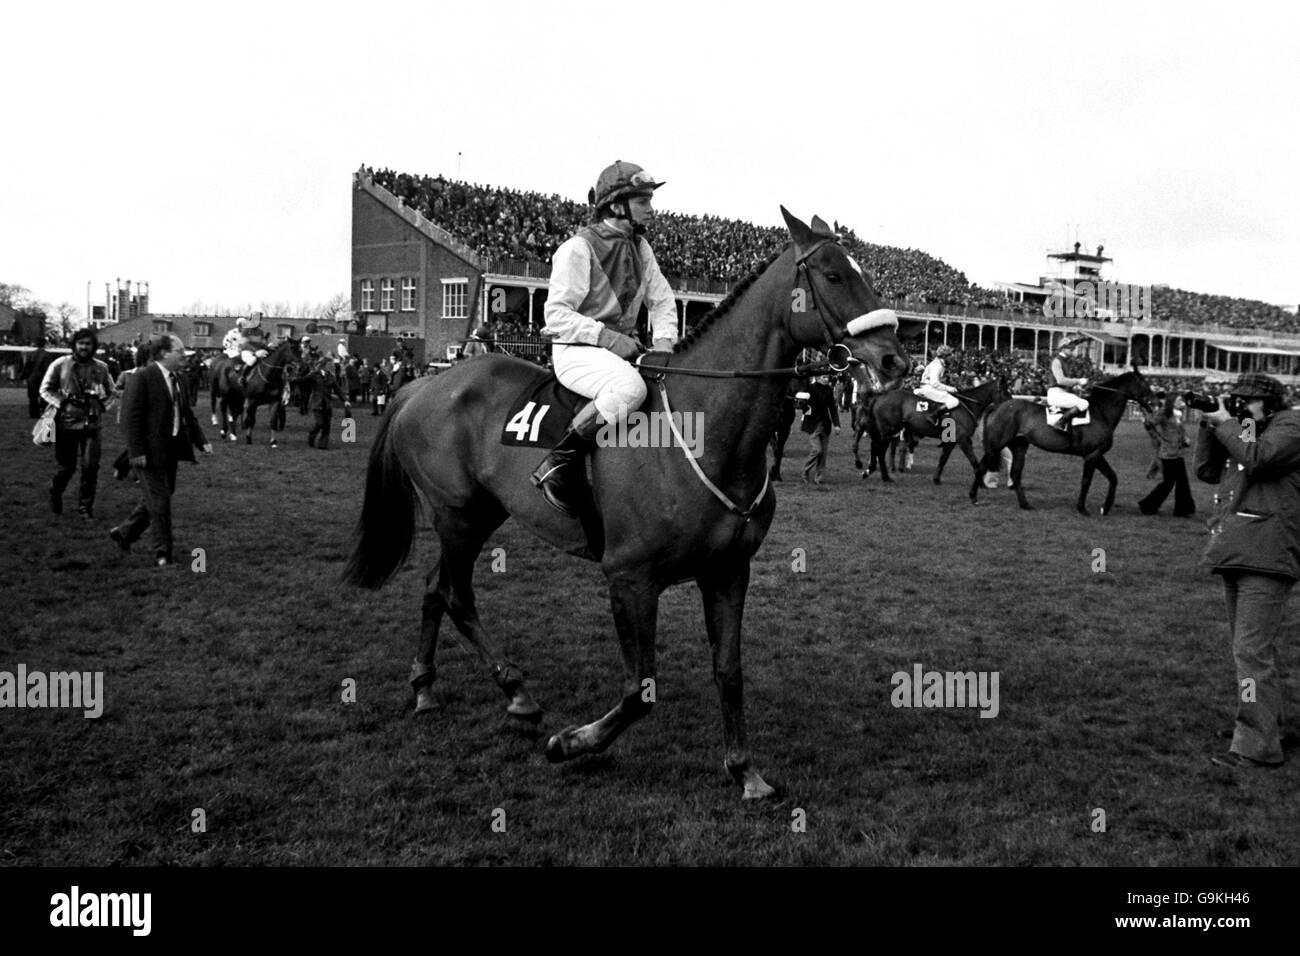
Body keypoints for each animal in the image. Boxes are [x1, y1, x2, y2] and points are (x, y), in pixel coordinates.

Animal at [345, 209, 915, 801]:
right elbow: (640, 689)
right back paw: (516, 691)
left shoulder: (729, 572)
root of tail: (423, 385)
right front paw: (571, 742)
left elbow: (729, 671)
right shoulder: (629, 577)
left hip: (479, 515)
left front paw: (745, 770)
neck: (706, 432)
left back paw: (426, 686)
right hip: (457, 516)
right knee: (456, 595)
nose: (896, 358)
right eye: (833, 275)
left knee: (436, 588)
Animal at [852, 379, 1013, 486]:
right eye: (1005, 391)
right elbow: (973, 459)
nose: (1011, 404)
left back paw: (871, 471)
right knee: (879, 450)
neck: (968, 405)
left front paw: (936, 479)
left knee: (876, 447)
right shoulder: (964, 439)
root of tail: (880, 396)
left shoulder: (952, 440)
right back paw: (884, 476)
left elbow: (943, 459)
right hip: (888, 431)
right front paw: (981, 483)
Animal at [972, 369, 1154, 515]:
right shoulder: (1092, 455)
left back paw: (1025, 504)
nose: (1156, 400)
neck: (1101, 412)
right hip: (996, 446)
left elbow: (1113, 478)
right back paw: (973, 497)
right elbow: (1086, 481)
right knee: (981, 467)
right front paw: (1082, 508)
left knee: (1015, 473)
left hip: (1019, 447)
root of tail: (998, 406)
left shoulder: (1097, 455)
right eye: (1144, 383)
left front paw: (1106, 507)